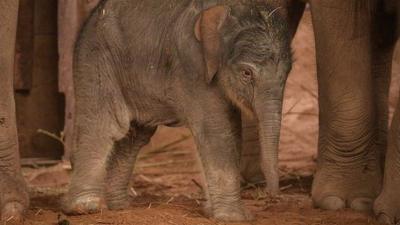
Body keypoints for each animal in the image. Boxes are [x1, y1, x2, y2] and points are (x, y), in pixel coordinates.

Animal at [64, 0, 292, 221]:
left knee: (136, 136)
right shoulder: (193, 66)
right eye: (246, 73)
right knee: (103, 125)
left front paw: (215, 213)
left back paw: (120, 206)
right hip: (96, 57)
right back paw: (84, 208)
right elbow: (216, 130)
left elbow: (233, 130)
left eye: (287, 73)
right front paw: (234, 218)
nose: (272, 196)